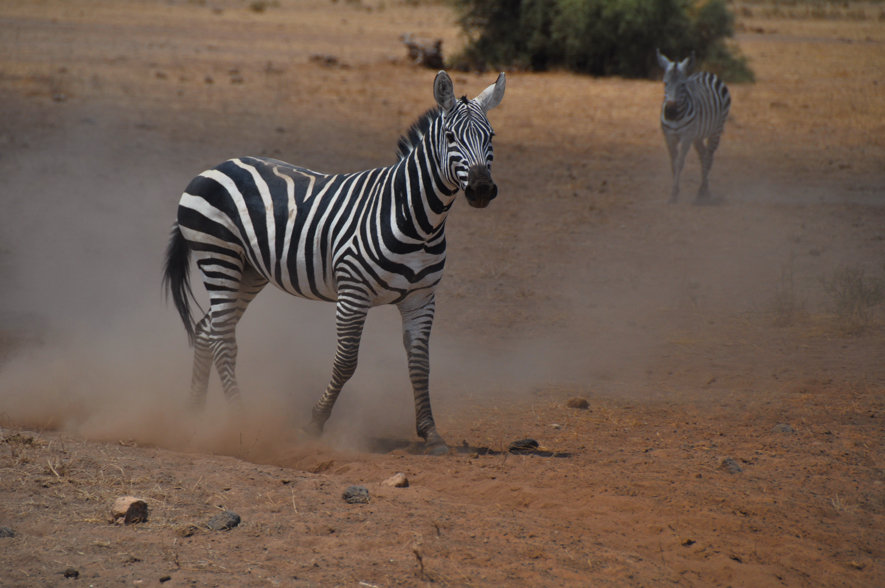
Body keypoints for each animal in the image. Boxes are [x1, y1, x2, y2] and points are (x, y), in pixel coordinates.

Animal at [161, 70, 504, 454]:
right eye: (450, 137)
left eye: (491, 136)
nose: (481, 190)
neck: (417, 221)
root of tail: (214, 168)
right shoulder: (352, 294)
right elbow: (346, 363)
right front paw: (314, 423)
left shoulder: (421, 299)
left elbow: (420, 365)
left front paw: (431, 434)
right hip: (218, 256)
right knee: (222, 337)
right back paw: (240, 421)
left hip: (249, 271)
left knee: (206, 329)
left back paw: (194, 416)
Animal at [656, 48, 732, 204]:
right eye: (665, 83)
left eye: (683, 85)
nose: (670, 111)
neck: (676, 117)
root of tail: (708, 73)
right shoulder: (669, 136)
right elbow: (673, 163)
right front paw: (674, 193)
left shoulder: (686, 137)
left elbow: (680, 163)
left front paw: (674, 193)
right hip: (697, 136)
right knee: (703, 155)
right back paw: (705, 189)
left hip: (716, 130)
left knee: (709, 157)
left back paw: (702, 191)